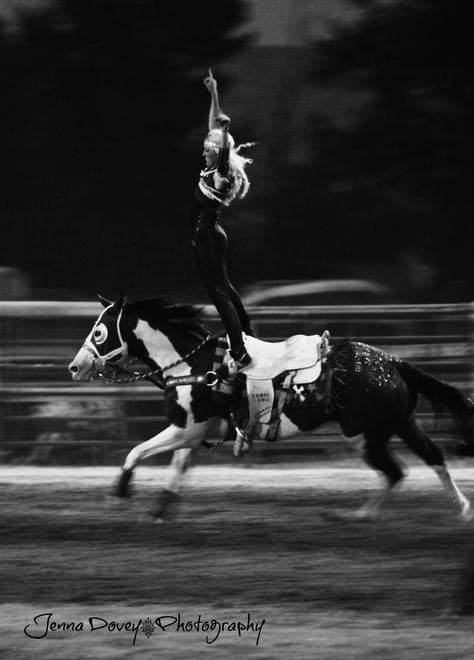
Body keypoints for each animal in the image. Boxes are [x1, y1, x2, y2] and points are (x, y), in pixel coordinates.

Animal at [67, 294, 474, 520]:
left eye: (99, 331)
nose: (75, 366)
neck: (193, 366)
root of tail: (392, 362)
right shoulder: (195, 433)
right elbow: (177, 469)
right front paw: (159, 511)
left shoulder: (186, 427)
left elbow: (137, 451)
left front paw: (120, 492)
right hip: (402, 423)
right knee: (432, 458)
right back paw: (462, 509)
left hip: (363, 435)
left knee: (393, 472)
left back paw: (355, 516)